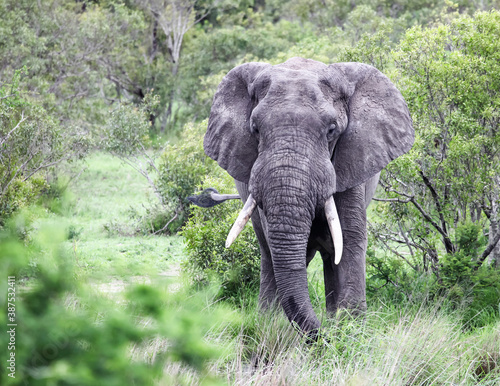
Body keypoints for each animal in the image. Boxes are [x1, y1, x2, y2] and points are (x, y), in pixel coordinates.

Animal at [201, 57, 412, 338]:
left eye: (332, 130)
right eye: (255, 130)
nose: (324, 335)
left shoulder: (352, 162)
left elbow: (350, 239)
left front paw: (351, 331)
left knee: (331, 254)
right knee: (268, 253)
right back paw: (267, 319)